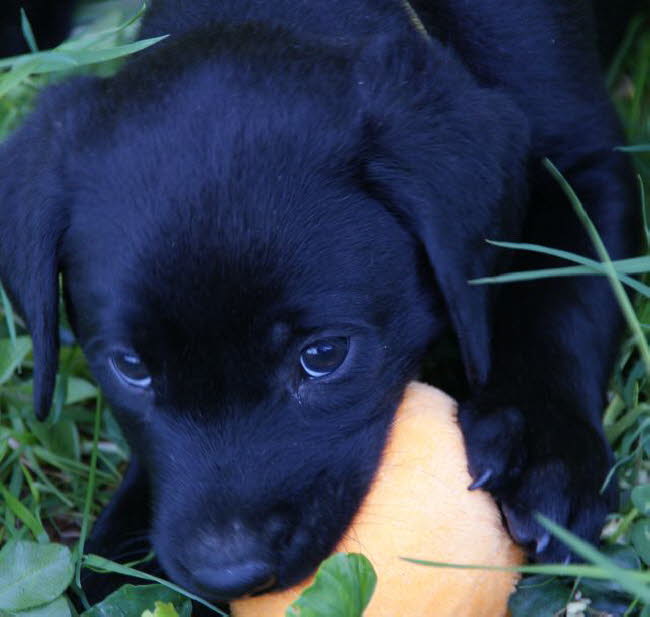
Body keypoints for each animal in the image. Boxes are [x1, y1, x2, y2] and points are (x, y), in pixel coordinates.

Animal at [0, 0, 636, 608]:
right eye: (131, 368)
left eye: (324, 355)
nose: (229, 572)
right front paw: (121, 553)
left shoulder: (587, 161)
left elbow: (566, 293)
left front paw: (544, 449)